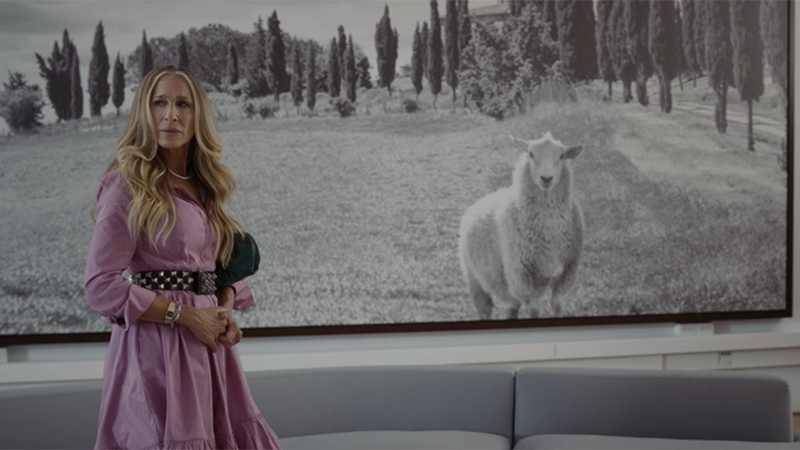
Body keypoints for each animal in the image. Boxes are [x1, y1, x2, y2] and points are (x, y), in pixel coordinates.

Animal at [460, 131, 584, 320]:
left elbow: (557, 308)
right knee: (484, 309)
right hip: (475, 278)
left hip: (509, 288)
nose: (546, 178)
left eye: (562, 156)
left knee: (512, 308)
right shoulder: (523, 279)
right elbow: (534, 312)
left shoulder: (564, 277)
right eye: (531, 154)